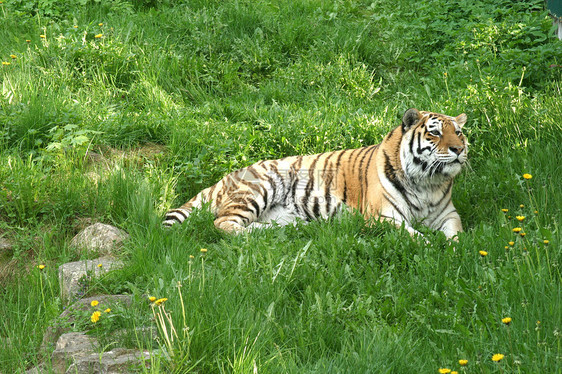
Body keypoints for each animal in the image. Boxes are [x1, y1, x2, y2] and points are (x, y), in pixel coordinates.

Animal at [163, 107, 468, 240]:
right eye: (434, 132)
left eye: (459, 132)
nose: (459, 149)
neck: (427, 183)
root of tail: (229, 175)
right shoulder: (383, 218)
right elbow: (415, 236)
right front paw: (431, 247)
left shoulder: (449, 215)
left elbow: (457, 235)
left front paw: (456, 250)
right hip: (260, 187)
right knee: (223, 223)